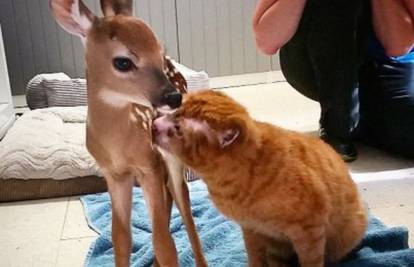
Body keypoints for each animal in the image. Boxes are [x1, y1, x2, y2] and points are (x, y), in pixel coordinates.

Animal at [154, 90, 368, 267]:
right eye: (174, 111)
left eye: (177, 128)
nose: (154, 124)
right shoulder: (251, 229)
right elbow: (255, 257)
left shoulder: (310, 231)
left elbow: (311, 261)